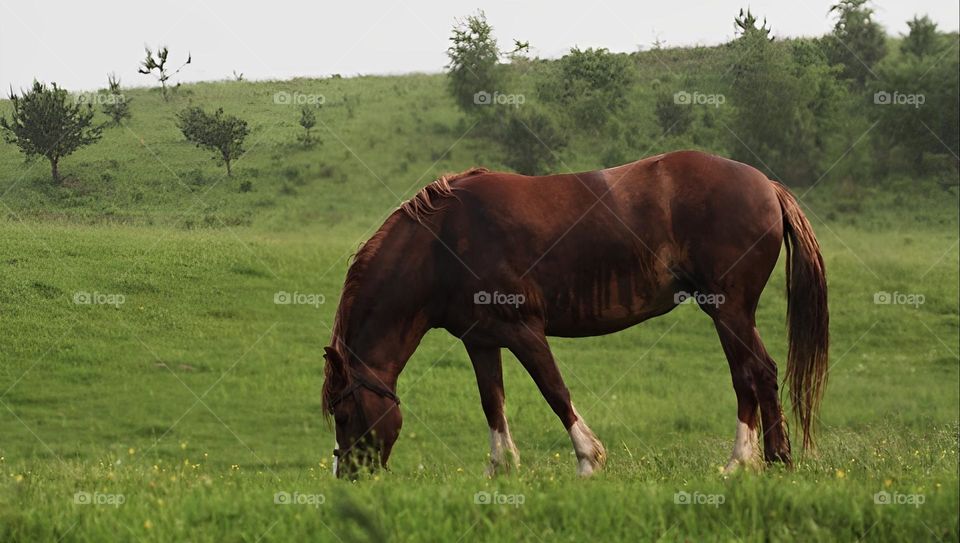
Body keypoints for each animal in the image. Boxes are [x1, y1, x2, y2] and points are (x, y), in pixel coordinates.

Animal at [321, 150, 828, 479]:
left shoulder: (524, 331)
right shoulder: (481, 340)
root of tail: (766, 186)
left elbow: (554, 391)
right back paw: (767, 461)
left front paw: (589, 459)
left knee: (751, 374)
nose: (348, 477)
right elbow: (492, 403)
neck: (441, 243)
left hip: (729, 311)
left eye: (344, 414)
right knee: (758, 374)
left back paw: (744, 462)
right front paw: (502, 470)